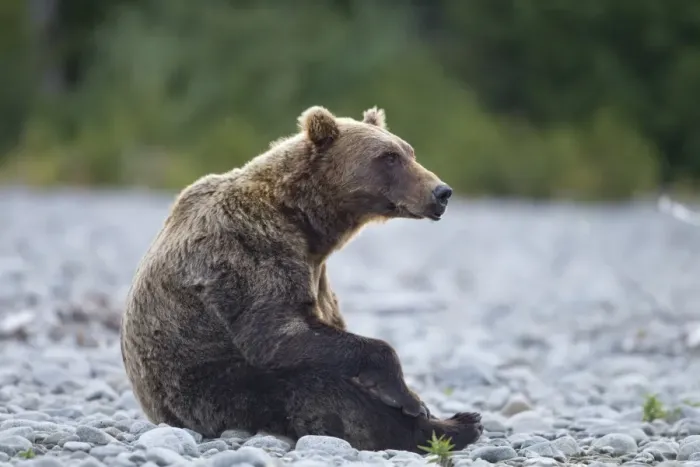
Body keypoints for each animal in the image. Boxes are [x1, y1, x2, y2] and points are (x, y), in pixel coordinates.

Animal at [119, 105, 483, 453]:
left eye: (410, 152)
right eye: (389, 157)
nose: (441, 192)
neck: (305, 223)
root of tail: (156, 414)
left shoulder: (316, 272)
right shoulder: (251, 252)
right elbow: (279, 333)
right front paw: (409, 398)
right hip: (213, 388)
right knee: (324, 393)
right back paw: (456, 425)